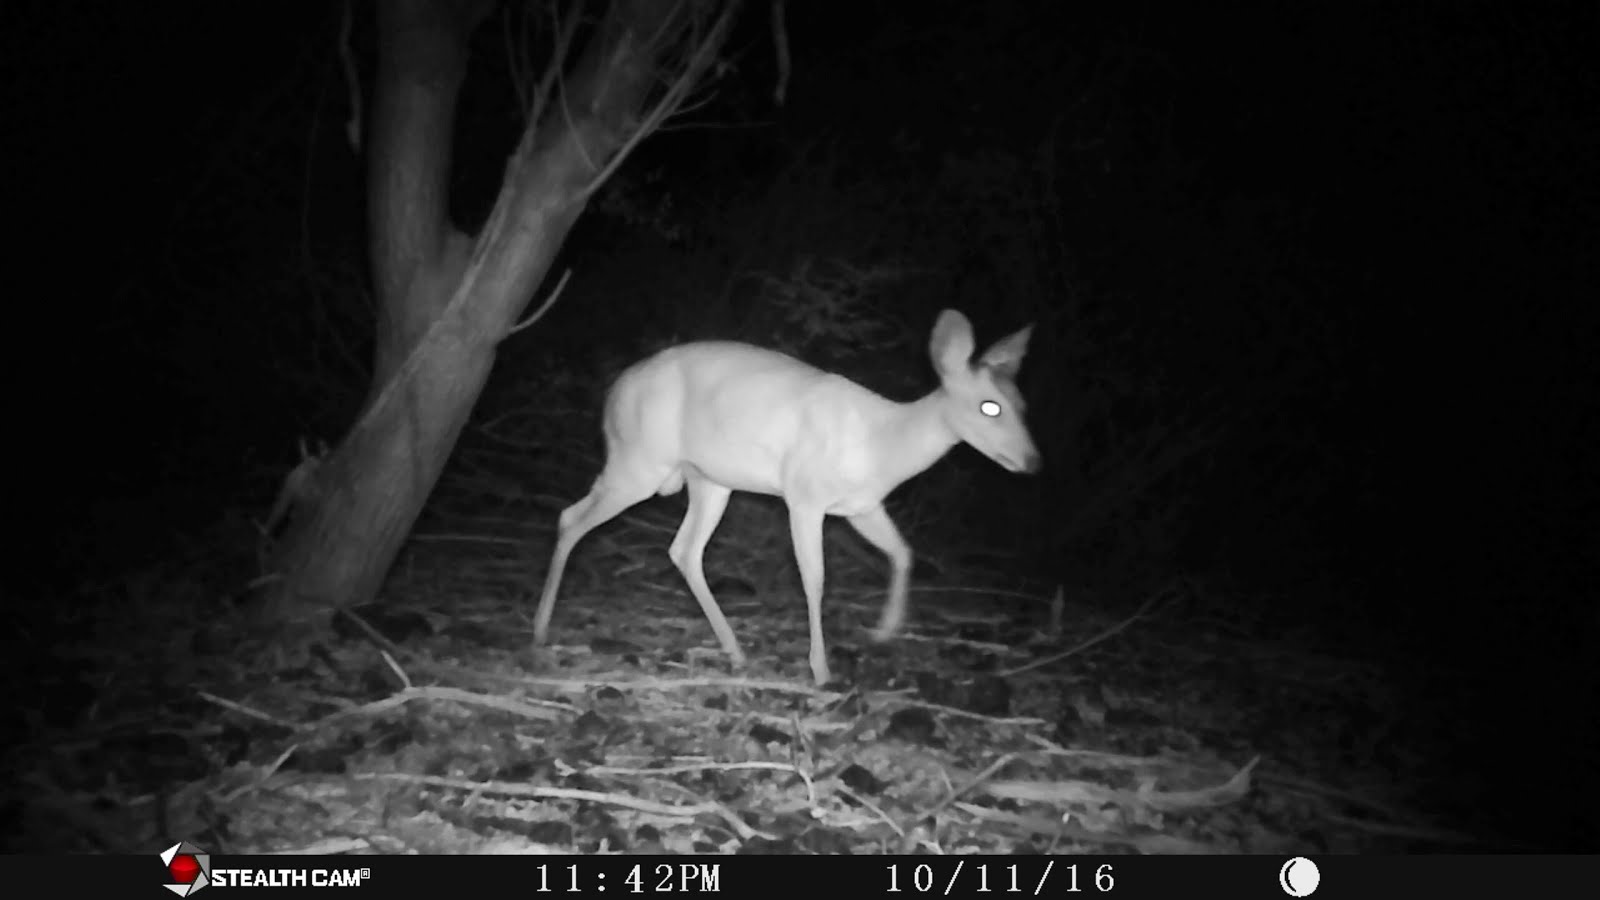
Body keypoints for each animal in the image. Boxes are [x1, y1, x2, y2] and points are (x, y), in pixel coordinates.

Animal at [531, 307, 1043, 679]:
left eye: (1021, 403)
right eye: (990, 406)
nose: (1034, 461)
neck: (882, 443)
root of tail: (611, 393)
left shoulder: (861, 506)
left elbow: (902, 552)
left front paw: (885, 630)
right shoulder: (804, 495)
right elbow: (814, 578)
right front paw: (821, 670)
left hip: (709, 479)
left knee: (684, 549)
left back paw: (735, 650)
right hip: (638, 460)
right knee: (571, 517)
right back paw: (538, 629)